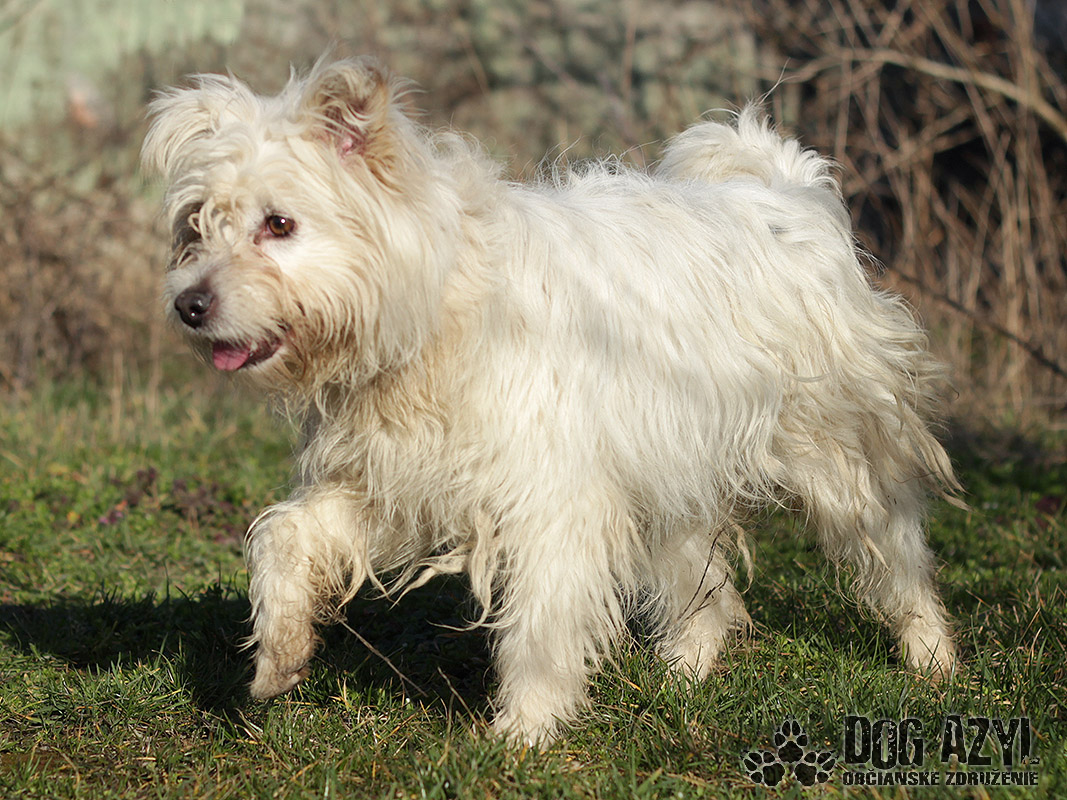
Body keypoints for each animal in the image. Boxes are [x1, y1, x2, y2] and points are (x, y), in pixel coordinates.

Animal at [142, 57, 958, 745]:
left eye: (278, 224)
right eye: (195, 226)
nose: (187, 305)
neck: (439, 308)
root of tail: (784, 189)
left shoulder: (551, 500)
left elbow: (538, 622)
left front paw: (524, 733)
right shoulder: (388, 479)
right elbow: (283, 539)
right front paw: (280, 654)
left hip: (837, 454)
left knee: (895, 553)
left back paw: (932, 658)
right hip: (668, 471)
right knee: (700, 583)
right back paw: (684, 671)